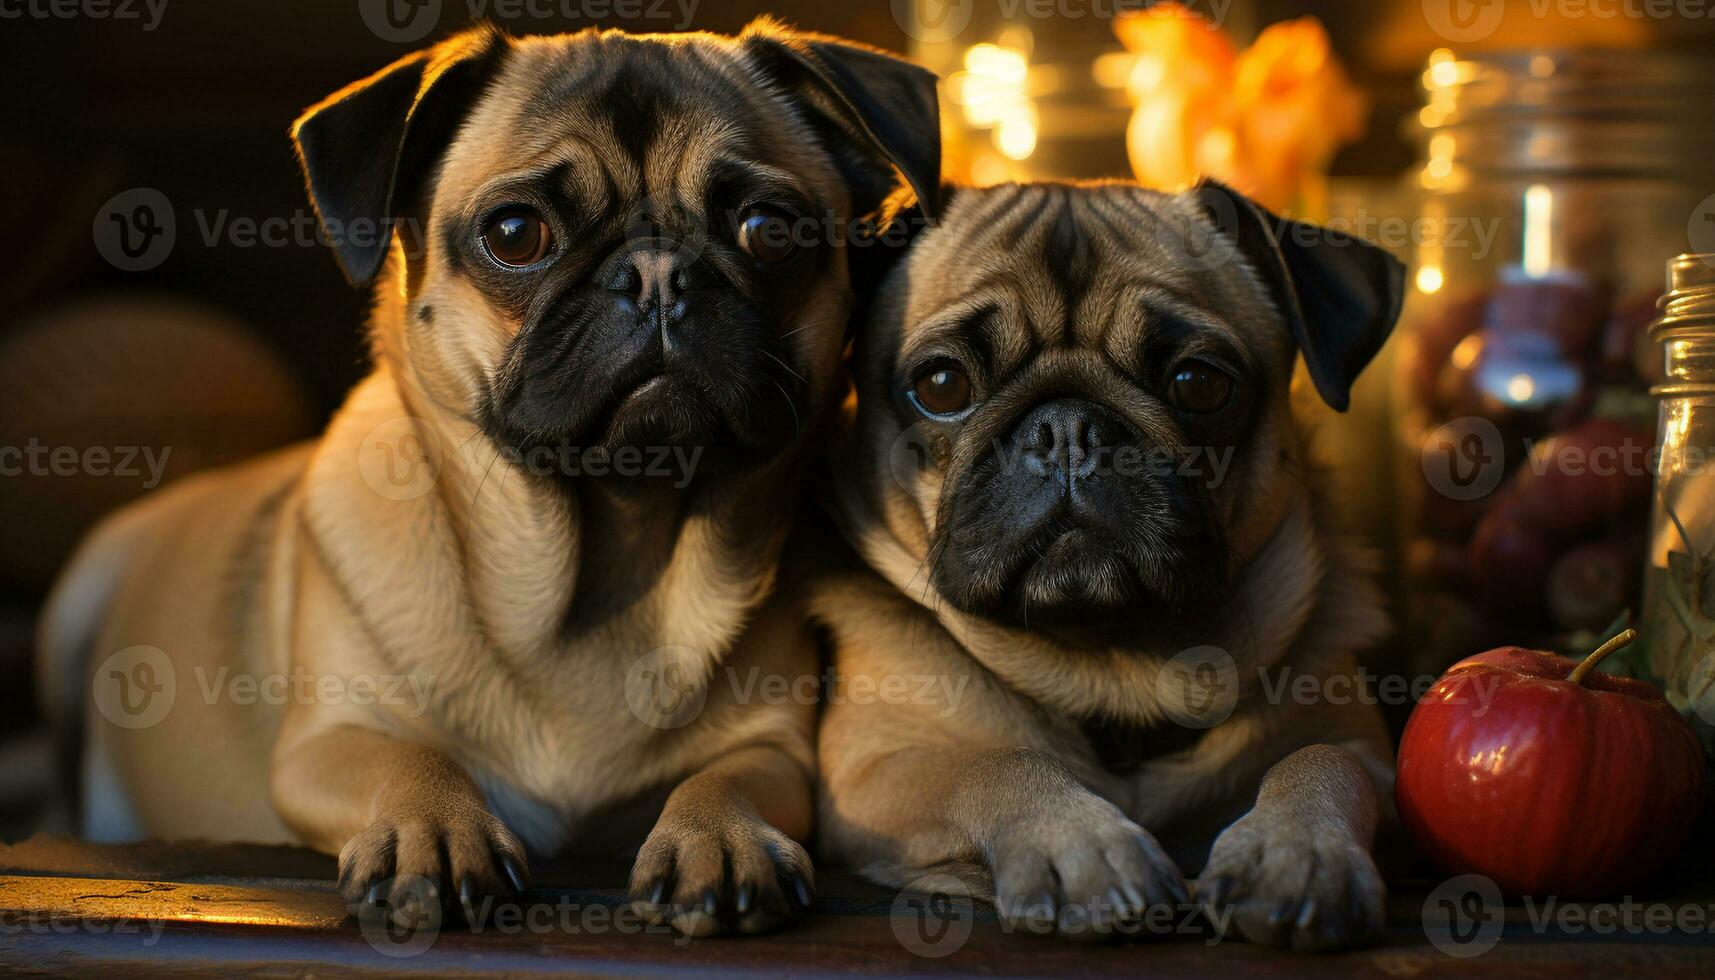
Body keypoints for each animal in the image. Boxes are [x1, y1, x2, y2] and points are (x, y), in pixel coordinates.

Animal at [40, 17, 946, 933]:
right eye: (515, 234)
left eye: (767, 228)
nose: (656, 272)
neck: (605, 561)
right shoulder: (324, 743)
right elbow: (409, 759)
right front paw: (433, 829)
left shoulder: (777, 750)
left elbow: (727, 777)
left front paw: (718, 836)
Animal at [816, 181, 1406, 954]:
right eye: (941, 384)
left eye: (1198, 384)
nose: (1068, 427)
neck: (1113, 670)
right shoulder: (873, 768)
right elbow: (997, 762)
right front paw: (1082, 847)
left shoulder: (1366, 753)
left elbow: (1320, 762)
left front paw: (1298, 852)